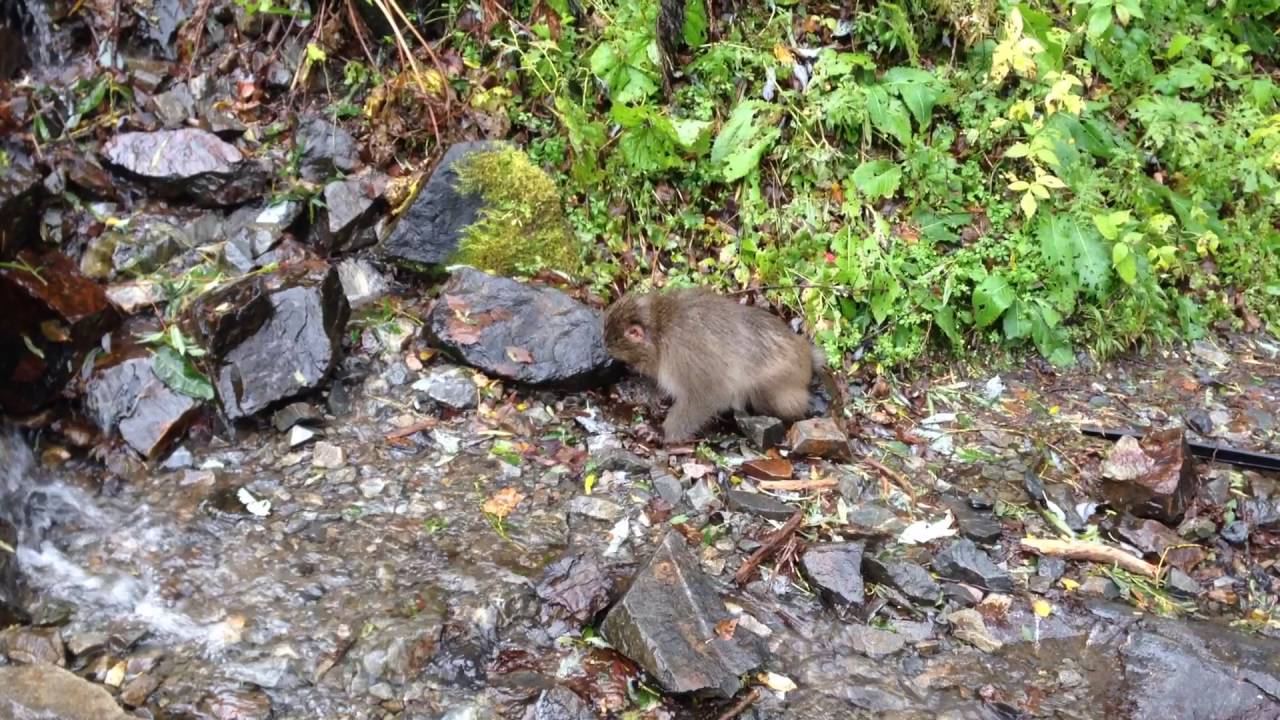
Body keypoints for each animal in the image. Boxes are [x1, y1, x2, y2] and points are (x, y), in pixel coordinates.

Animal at [603, 286, 823, 443]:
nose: (627, 369)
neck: (660, 330)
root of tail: (805, 351)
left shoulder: (683, 355)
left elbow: (704, 396)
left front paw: (660, 432)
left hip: (780, 383)